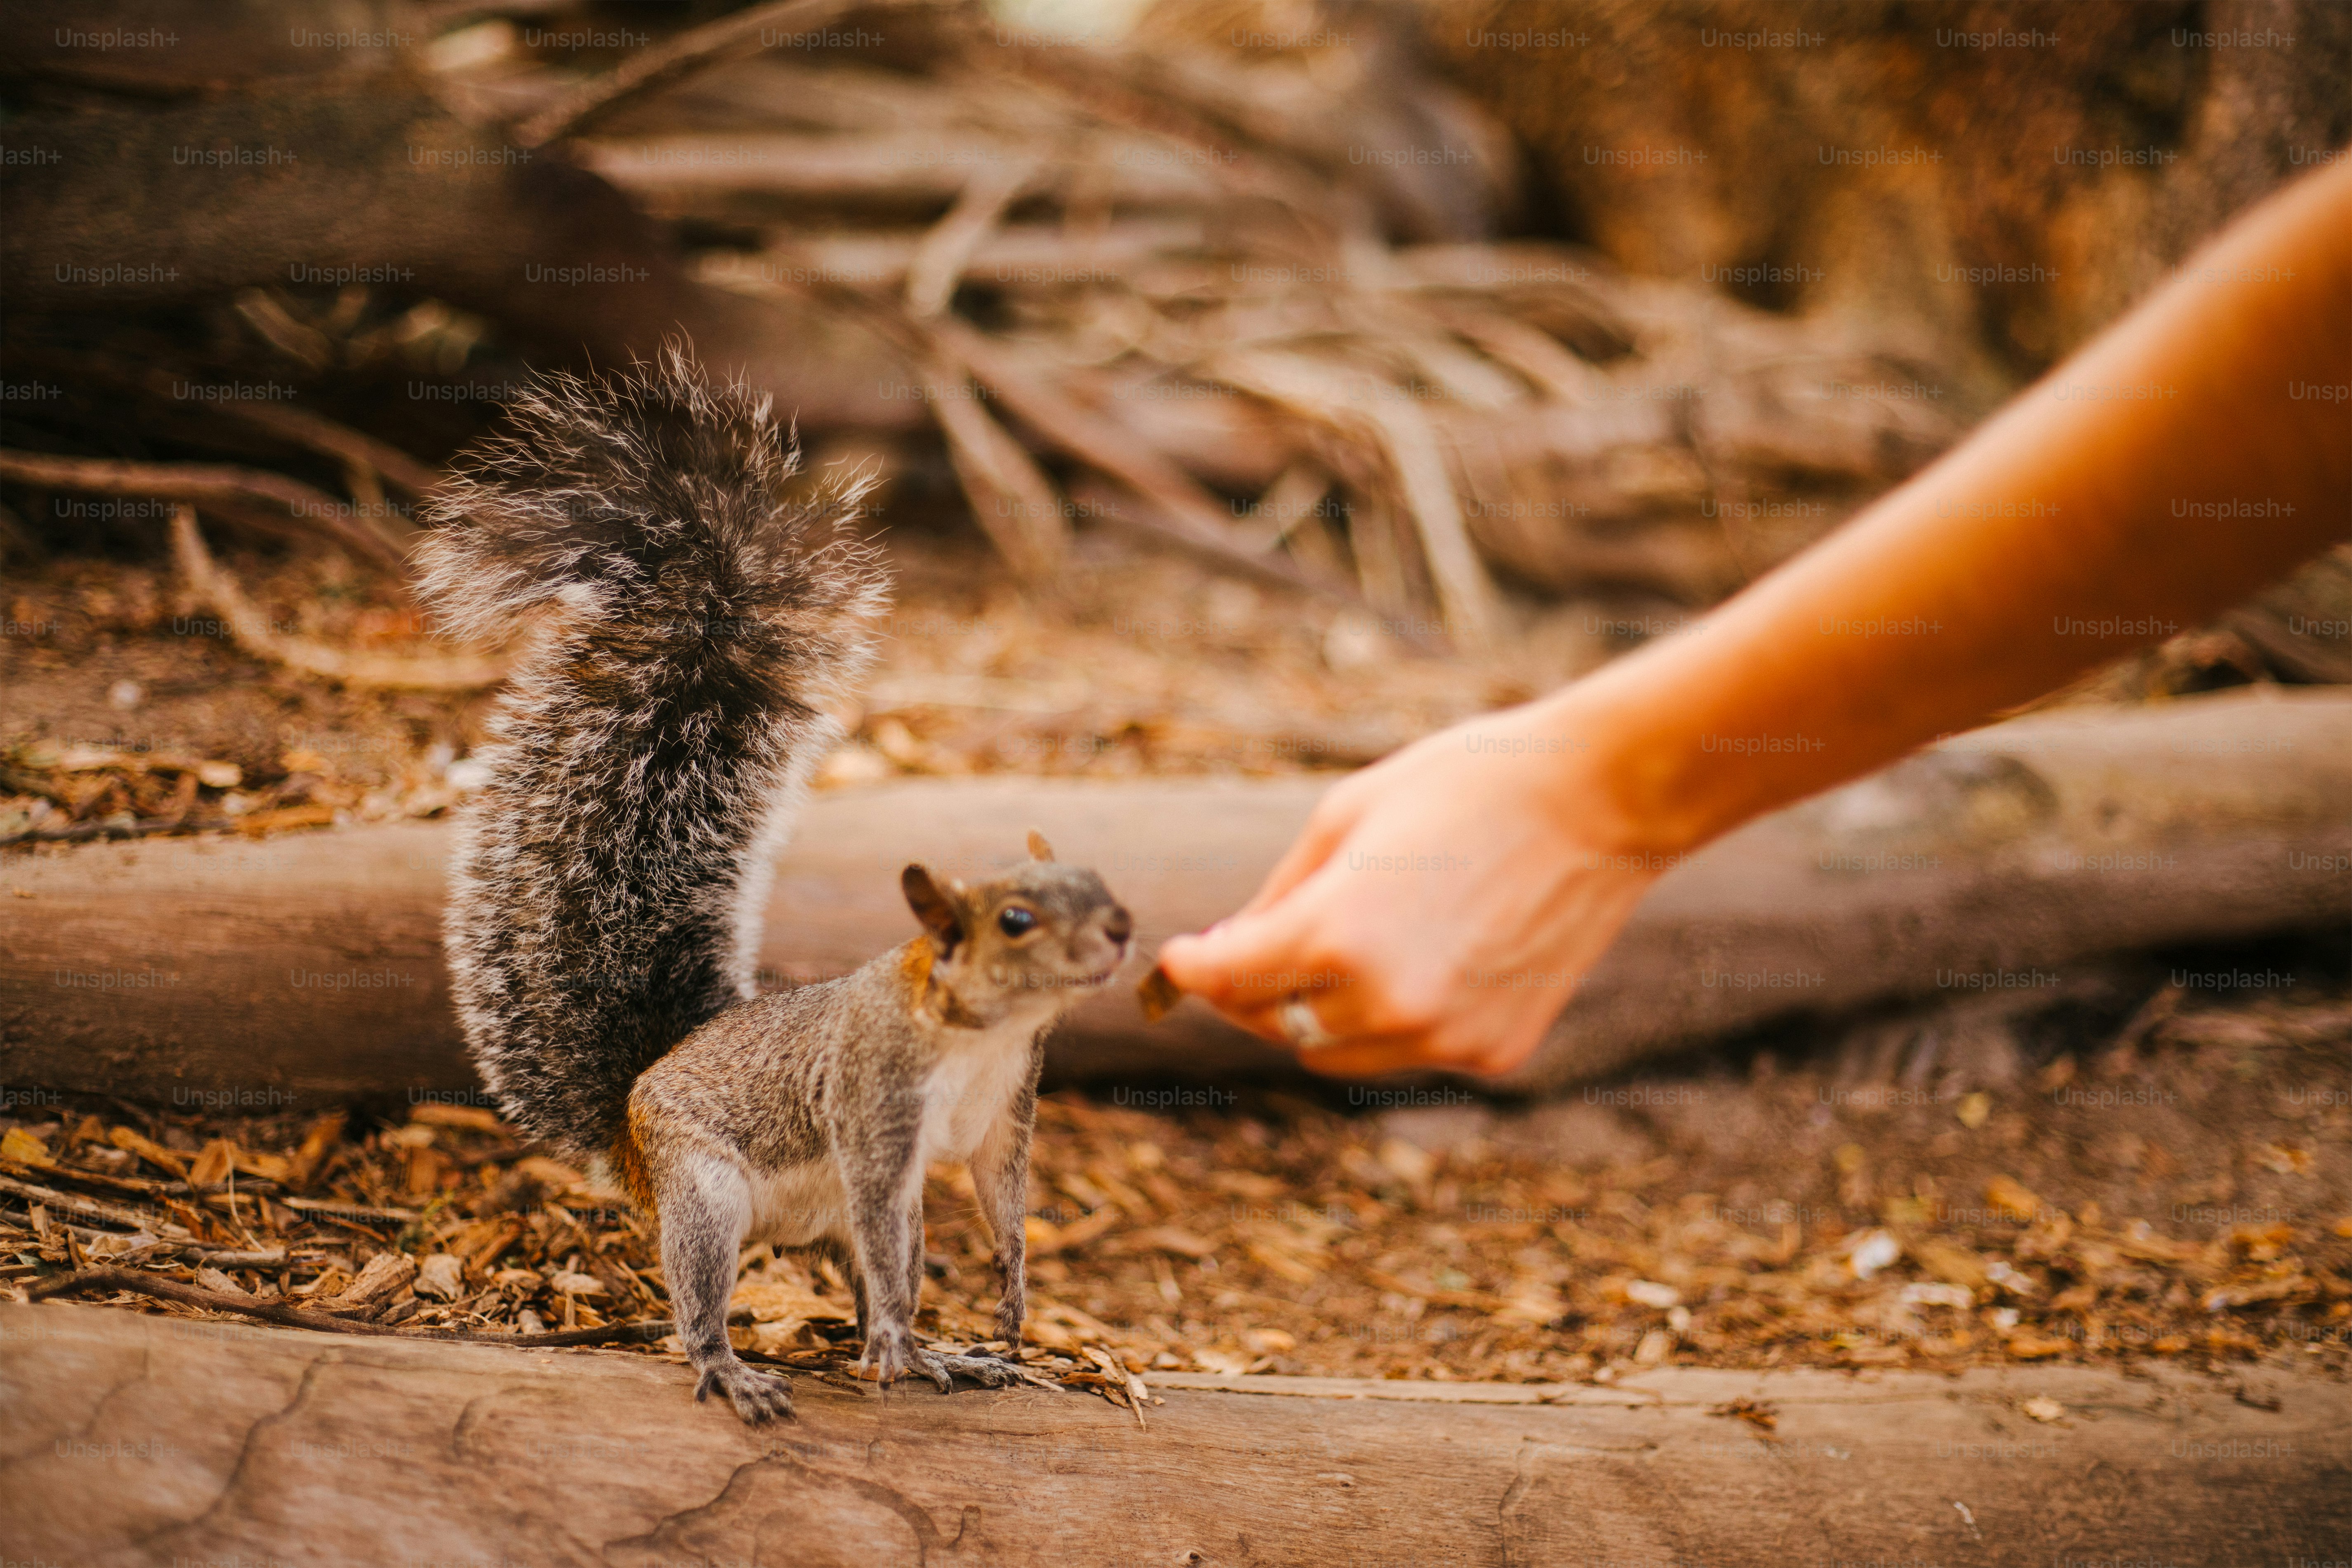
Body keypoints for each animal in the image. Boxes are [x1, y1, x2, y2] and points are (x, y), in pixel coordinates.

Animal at [414, 349, 1136, 1423]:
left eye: (1093, 875)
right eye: (1015, 918)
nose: (1122, 931)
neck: (982, 1033)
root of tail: (633, 1114)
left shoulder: (1004, 1114)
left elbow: (1002, 1201)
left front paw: (1008, 1298)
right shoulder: (875, 1112)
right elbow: (886, 1218)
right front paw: (908, 1338)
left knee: (868, 1268)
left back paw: (934, 1352)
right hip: (706, 1192)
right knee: (710, 1293)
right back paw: (735, 1363)